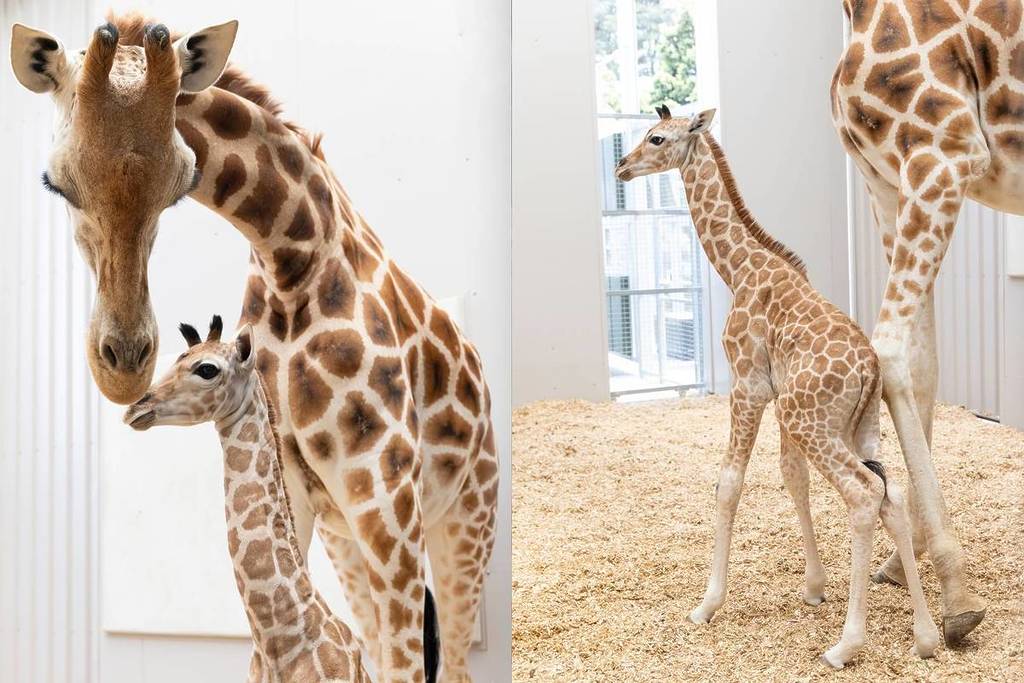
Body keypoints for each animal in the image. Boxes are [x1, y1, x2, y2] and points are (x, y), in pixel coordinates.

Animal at [615, 106, 940, 668]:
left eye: (655, 138)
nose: (622, 166)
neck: (737, 268)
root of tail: (870, 370)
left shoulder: (748, 385)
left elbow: (728, 483)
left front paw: (707, 604)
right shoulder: (777, 391)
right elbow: (793, 479)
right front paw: (813, 587)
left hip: (811, 422)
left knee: (863, 495)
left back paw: (846, 645)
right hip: (855, 426)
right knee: (890, 492)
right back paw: (925, 637)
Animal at [830, 0, 1023, 644]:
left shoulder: (946, 151)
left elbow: (892, 352)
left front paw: (953, 584)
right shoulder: (888, 180)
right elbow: (923, 366)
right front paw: (901, 560)